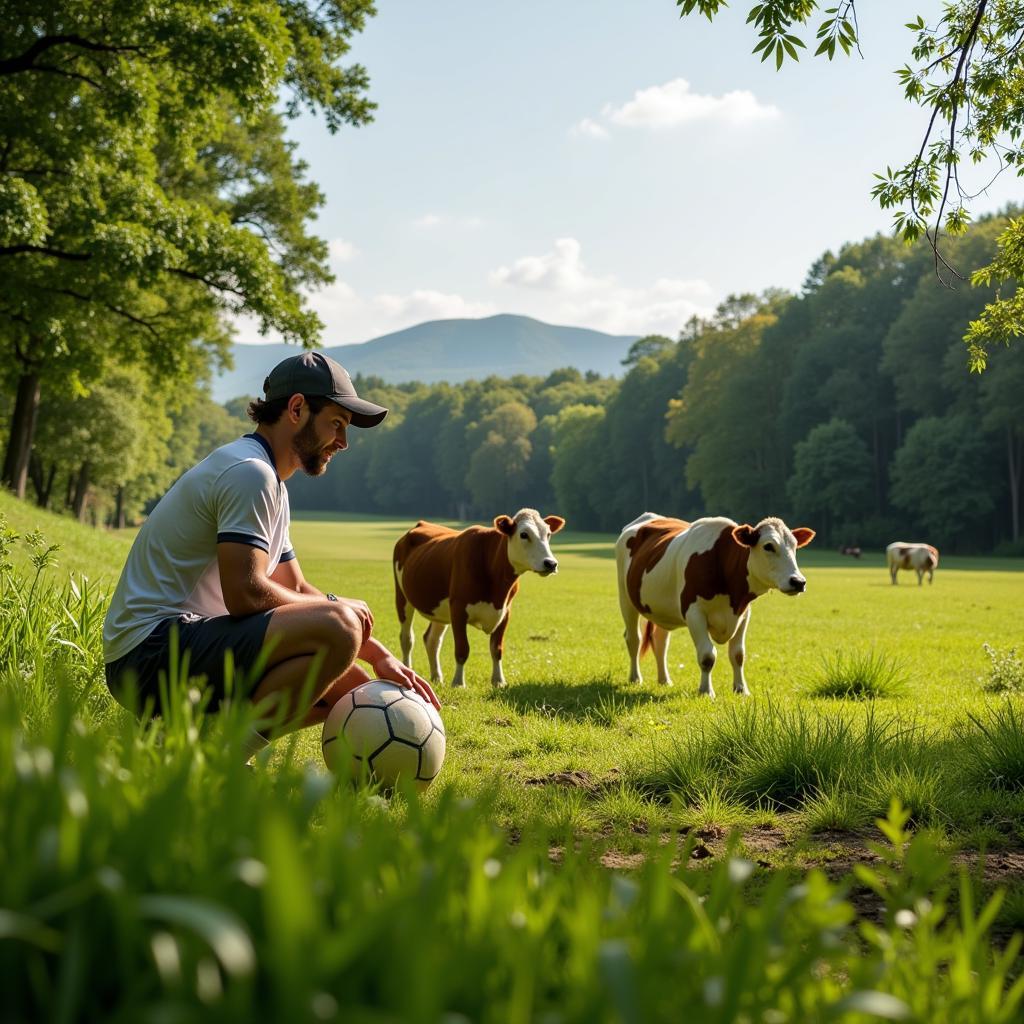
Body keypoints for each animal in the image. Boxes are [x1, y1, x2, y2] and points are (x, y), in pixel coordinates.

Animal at [393, 505, 569, 688]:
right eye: (524, 534)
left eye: (548, 534)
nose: (551, 563)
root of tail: (421, 524)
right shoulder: (458, 608)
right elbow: (462, 649)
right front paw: (458, 683)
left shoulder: (505, 611)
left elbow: (496, 649)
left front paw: (499, 681)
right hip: (402, 597)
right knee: (407, 639)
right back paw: (407, 670)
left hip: (439, 610)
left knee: (432, 640)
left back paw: (437, 678)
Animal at [614, 512, 815, 696]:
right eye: (768, 546)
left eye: (795, 546)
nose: (798, 581)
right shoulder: (694, 613)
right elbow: (707, 656)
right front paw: (706, 691)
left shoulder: (743, 614)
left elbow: (738, 654)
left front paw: (741, 689)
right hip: (625, 598)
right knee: (634, 638)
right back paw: (635, 678)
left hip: (661, 609)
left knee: (660, 641)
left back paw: (664, 680)